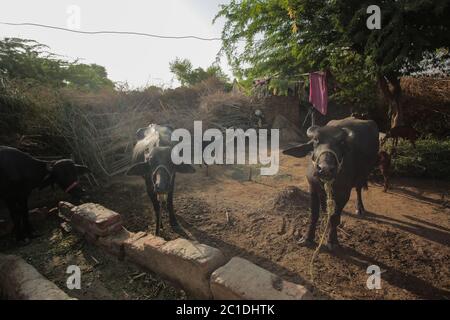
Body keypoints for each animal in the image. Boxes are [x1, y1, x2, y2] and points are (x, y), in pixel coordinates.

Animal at [284, 117, 380, 250]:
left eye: (341, 143)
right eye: (316, 140)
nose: (325, 169)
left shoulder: (344, 193)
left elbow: (335, 218)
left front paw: (332, 241)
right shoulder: (313, 188)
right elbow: (314, 214)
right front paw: (307, 238)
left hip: (363, 174)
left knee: (358, 189)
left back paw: (360, 208)